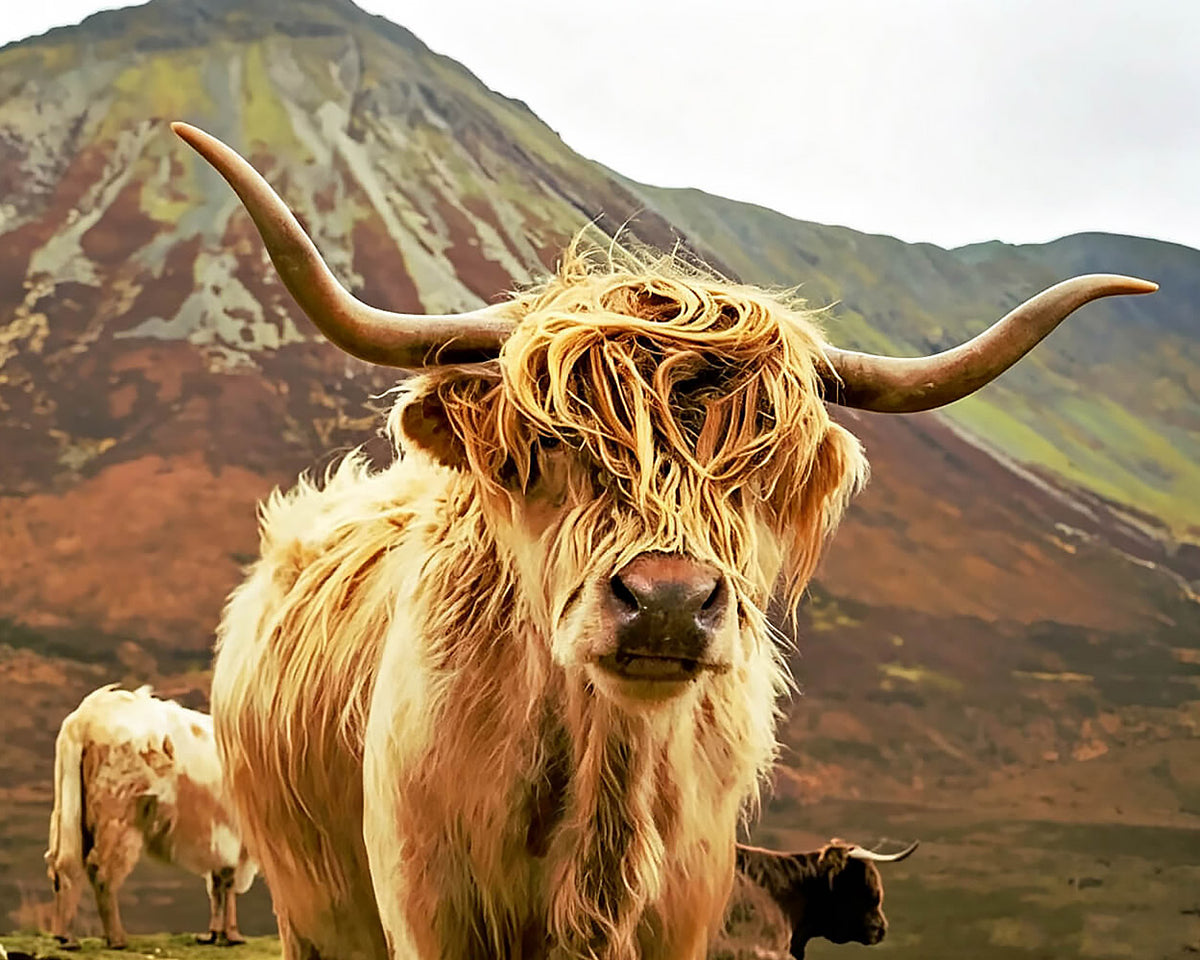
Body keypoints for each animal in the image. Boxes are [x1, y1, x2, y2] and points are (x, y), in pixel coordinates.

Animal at [44, 685, 257, 950]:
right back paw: (116, 939)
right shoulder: (228, 836)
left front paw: (215, 934)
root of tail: (85, 718)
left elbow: (218, 884)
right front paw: (230, 934)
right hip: (118, 816)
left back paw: (66, 937)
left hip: (70, 812)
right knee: (101, 870)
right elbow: (226, 881)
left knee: (64, 865)